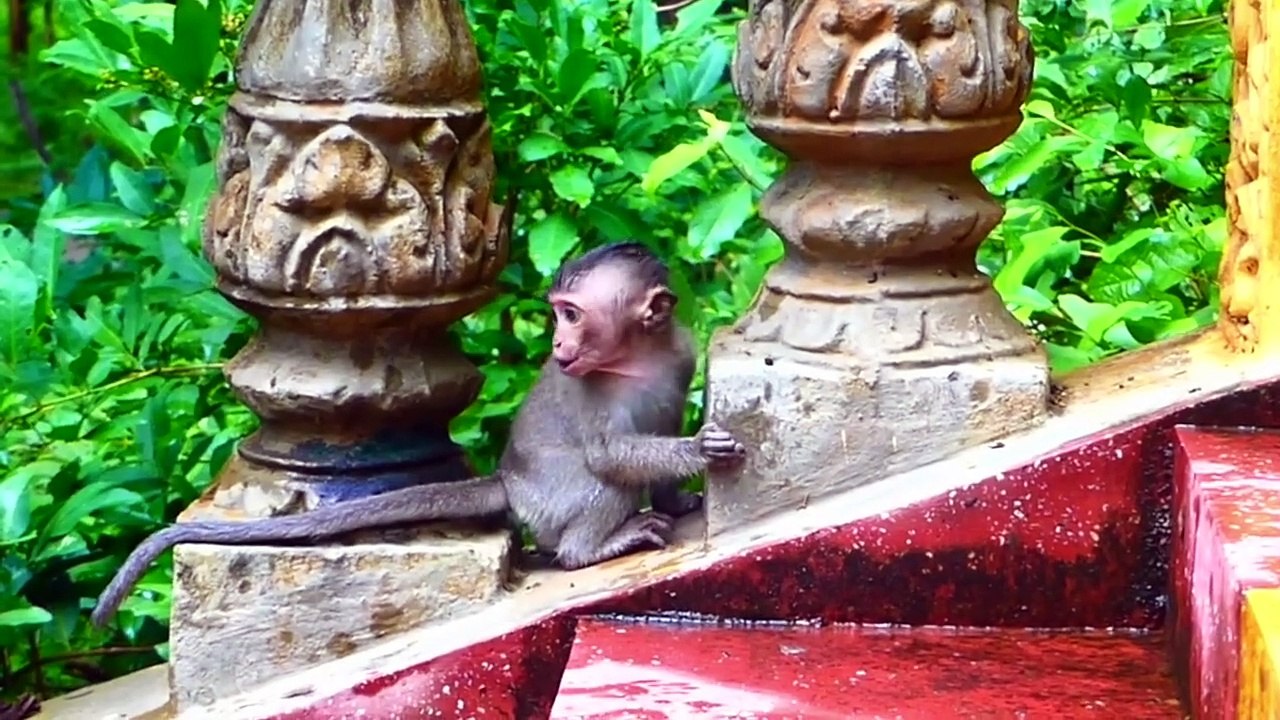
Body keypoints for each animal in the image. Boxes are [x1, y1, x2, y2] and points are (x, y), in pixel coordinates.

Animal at [89, 242, 746, 627]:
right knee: (600, 487)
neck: (636, 356)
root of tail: (509, 482)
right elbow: (612, 456)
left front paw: (682, 492)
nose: (559, 341)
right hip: (552, 503)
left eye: (572, 314)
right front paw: (697, 451)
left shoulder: (678, 351)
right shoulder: (589, 388)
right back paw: (593, 548)